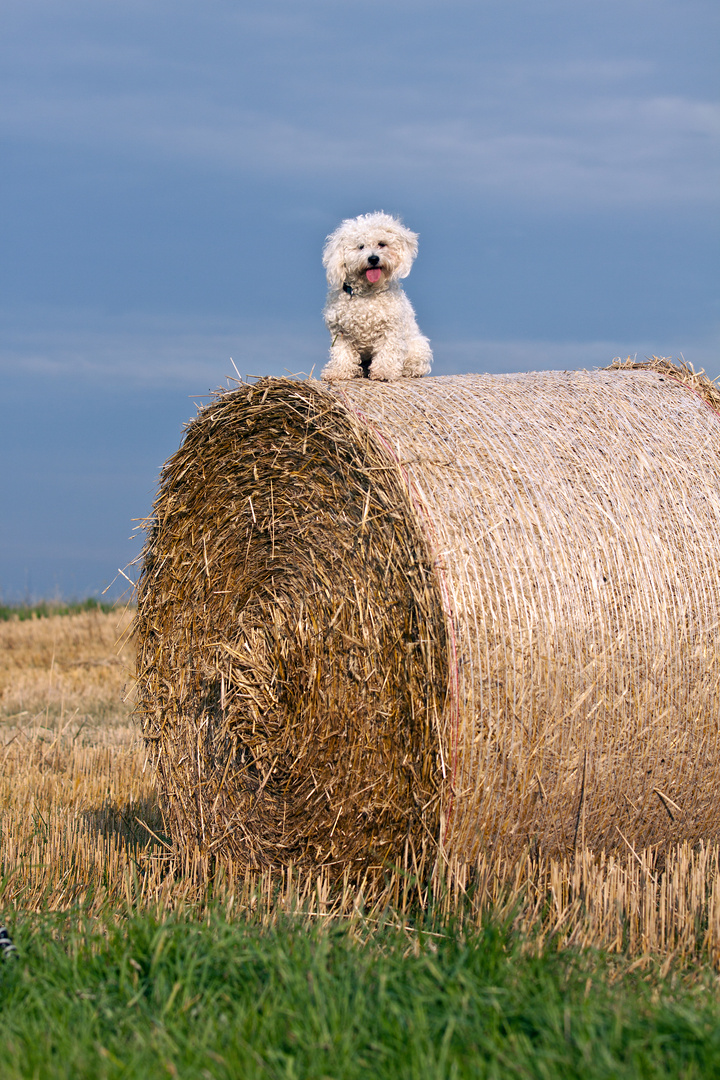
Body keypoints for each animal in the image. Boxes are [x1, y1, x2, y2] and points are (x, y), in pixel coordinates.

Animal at [321, 212, 433, 382]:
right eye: (361, 246)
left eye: (382, 244)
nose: (373, 259)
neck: (367, 293)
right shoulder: (341, 333)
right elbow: (342, 354)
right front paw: (338, 372)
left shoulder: (390, 330)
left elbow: (387, 352)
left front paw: (384, 372)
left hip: (418, 346)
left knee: (416, 364)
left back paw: (408, 371)